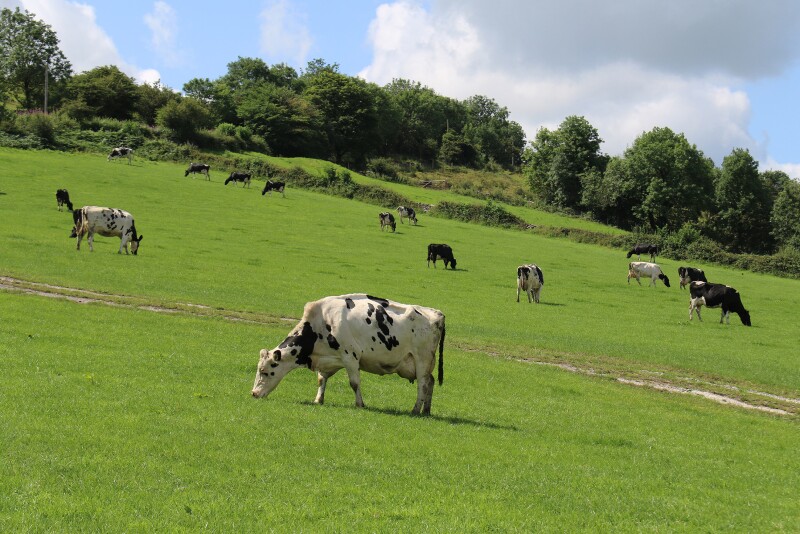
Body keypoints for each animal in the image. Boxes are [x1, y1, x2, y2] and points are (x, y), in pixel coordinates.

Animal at [251, 294, 446, 415]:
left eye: (264, 372)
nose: (253, 393)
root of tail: (437, 314)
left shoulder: (350, 357)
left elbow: (354, 383)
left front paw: (360, 404)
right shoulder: (329, 359)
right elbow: (321, 380)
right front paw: (318, 400)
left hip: (422, 360)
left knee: (422, 385)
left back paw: (415, 410)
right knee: (430, 382)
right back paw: (426, 410)